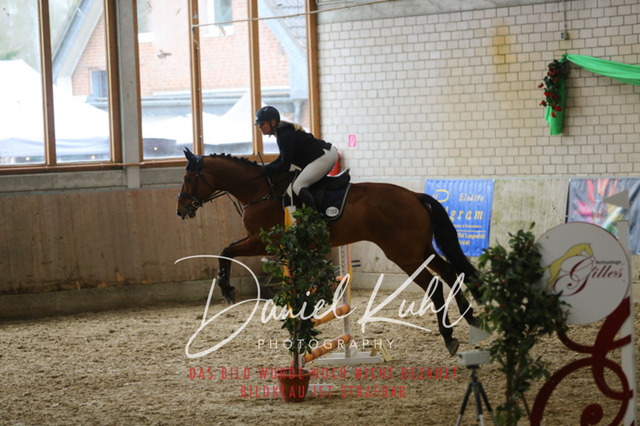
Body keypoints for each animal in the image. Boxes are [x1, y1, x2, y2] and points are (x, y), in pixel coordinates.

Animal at [176, 149, 480, 355]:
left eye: (189, 177)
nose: (181, 209)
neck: (259, 190)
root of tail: (415, 196)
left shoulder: (261, 241)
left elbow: (225, 251)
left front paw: (227, 289)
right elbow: (226, 251)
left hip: (404, 254)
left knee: (434, 285)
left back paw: (449, 337)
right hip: (421, 248)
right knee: (450, 272)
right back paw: (471, 319)